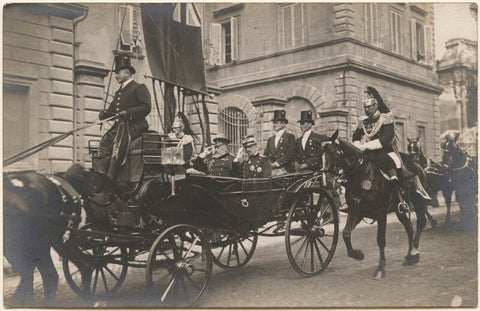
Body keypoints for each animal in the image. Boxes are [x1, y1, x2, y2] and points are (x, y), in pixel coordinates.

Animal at [322, 132, 428, 280]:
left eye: (332, 152)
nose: (327, 182)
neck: (362, 174)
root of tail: (417, 164)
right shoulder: (356, 212)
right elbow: (346, 233)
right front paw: (358, 254)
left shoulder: (381, 214)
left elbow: (380, 240)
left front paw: (380, 268)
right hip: (399, 210)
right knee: (409, 227)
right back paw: (409, 256)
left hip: (419, 203)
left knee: (420, 222)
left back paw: (414, 252)